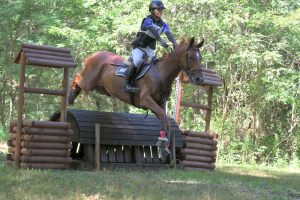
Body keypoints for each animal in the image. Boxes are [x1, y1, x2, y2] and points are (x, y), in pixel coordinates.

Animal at [67, 37, 204, 159]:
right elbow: (163, 117)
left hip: (101, 88)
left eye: (200, 58)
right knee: (77, 77)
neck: (160, 73)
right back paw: (70, 97)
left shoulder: (160, 103)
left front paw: (164, 147)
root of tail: (93, 54)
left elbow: (164, 120)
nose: (200, 79)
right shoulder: (146, 100)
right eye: (191, 57)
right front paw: (163, 145)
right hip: (89, 82)